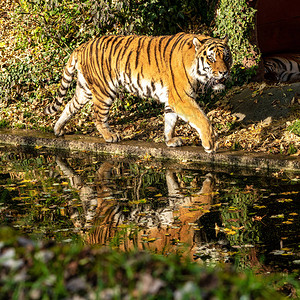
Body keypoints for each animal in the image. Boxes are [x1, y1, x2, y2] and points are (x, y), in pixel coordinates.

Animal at [45, 33, 232, 152]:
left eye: (226, 57)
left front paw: (170, 140)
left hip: (85, 89)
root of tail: (82, 46)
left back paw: (58, 129)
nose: (224, 72)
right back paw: (110, 136)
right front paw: (211, 143)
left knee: (69, 105)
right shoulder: (181, 98)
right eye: (211, 58)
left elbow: (170, 121)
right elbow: (201, 118)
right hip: (104, 90)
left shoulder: (171, 99)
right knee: (98, 116)